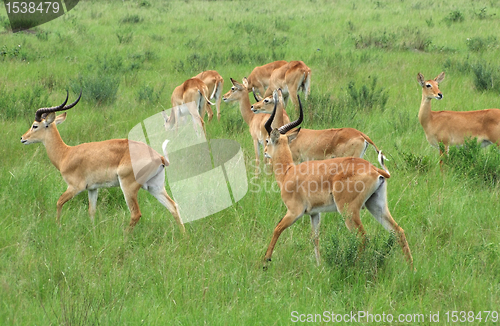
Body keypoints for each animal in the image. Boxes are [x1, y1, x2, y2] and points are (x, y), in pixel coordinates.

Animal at [20, 90, 184, 232]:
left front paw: (58, 226)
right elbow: (91, 211)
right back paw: (184, 237)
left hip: (128, 187)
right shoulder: (93, 189)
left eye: (35, 125)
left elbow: (59, 202)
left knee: (136, 214)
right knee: (173, 207)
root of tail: (159, 157)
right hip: (154, 186)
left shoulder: (75, 187)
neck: (66, 154)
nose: (22, 138)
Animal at [262, 94, 414, 270]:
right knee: (398, 231)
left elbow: (277, 228)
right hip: (376, 205)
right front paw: (319, 265)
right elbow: (315, 238)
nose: (265, 152)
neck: (288, 172)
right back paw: (411, 268)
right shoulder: (314, 213)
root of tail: (376, 170)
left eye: (267, 140)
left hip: (348, 210)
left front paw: (265, 261)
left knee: (363, 237)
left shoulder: (294, 212)